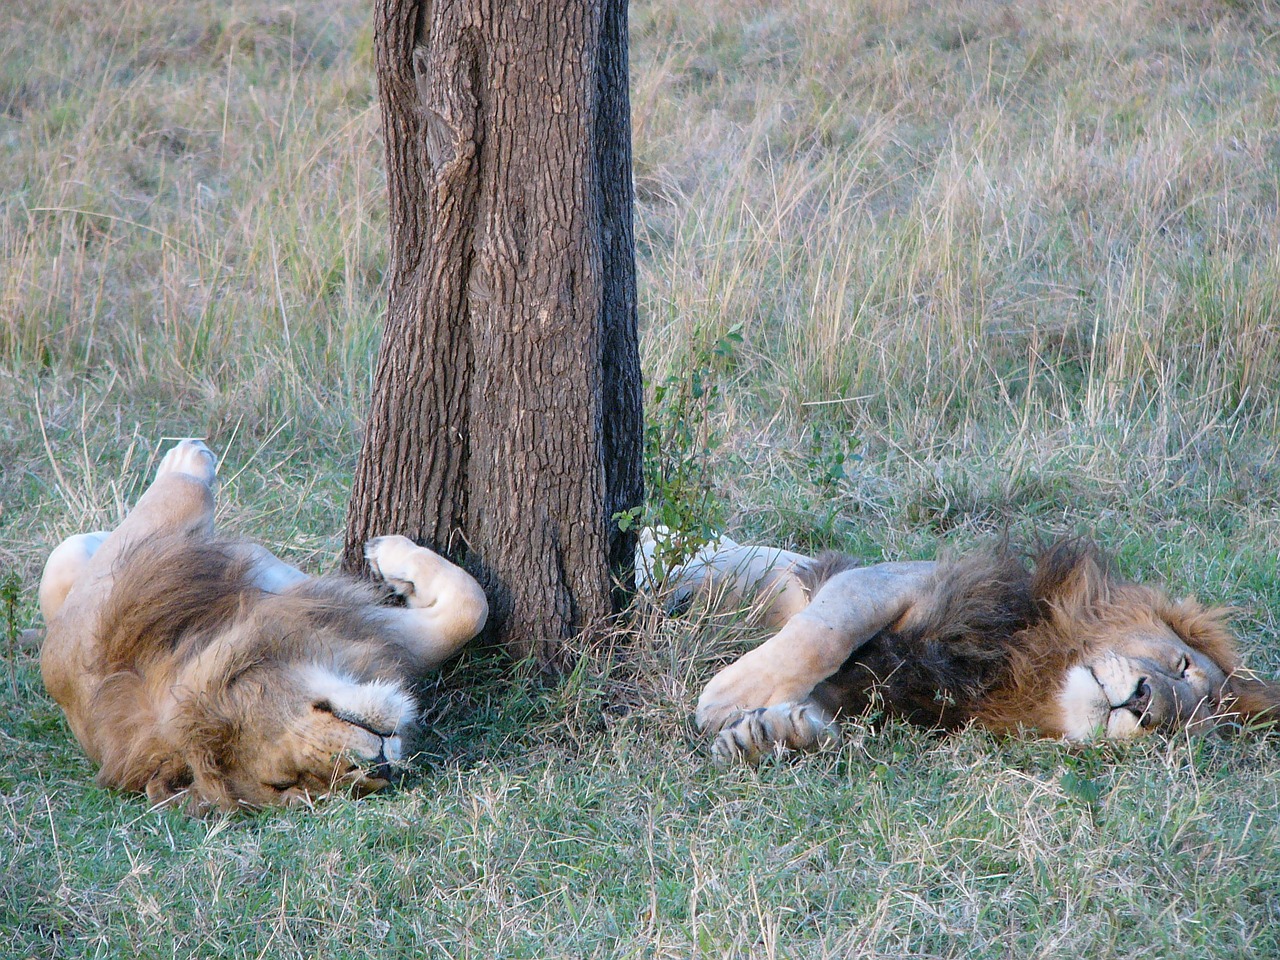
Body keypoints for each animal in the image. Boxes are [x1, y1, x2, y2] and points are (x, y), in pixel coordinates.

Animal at [38, 442, 488, 814]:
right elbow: (470, 607)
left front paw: (388, 559)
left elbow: (469, 608)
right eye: (292, 783)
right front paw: (187, 457)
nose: (377, 765)